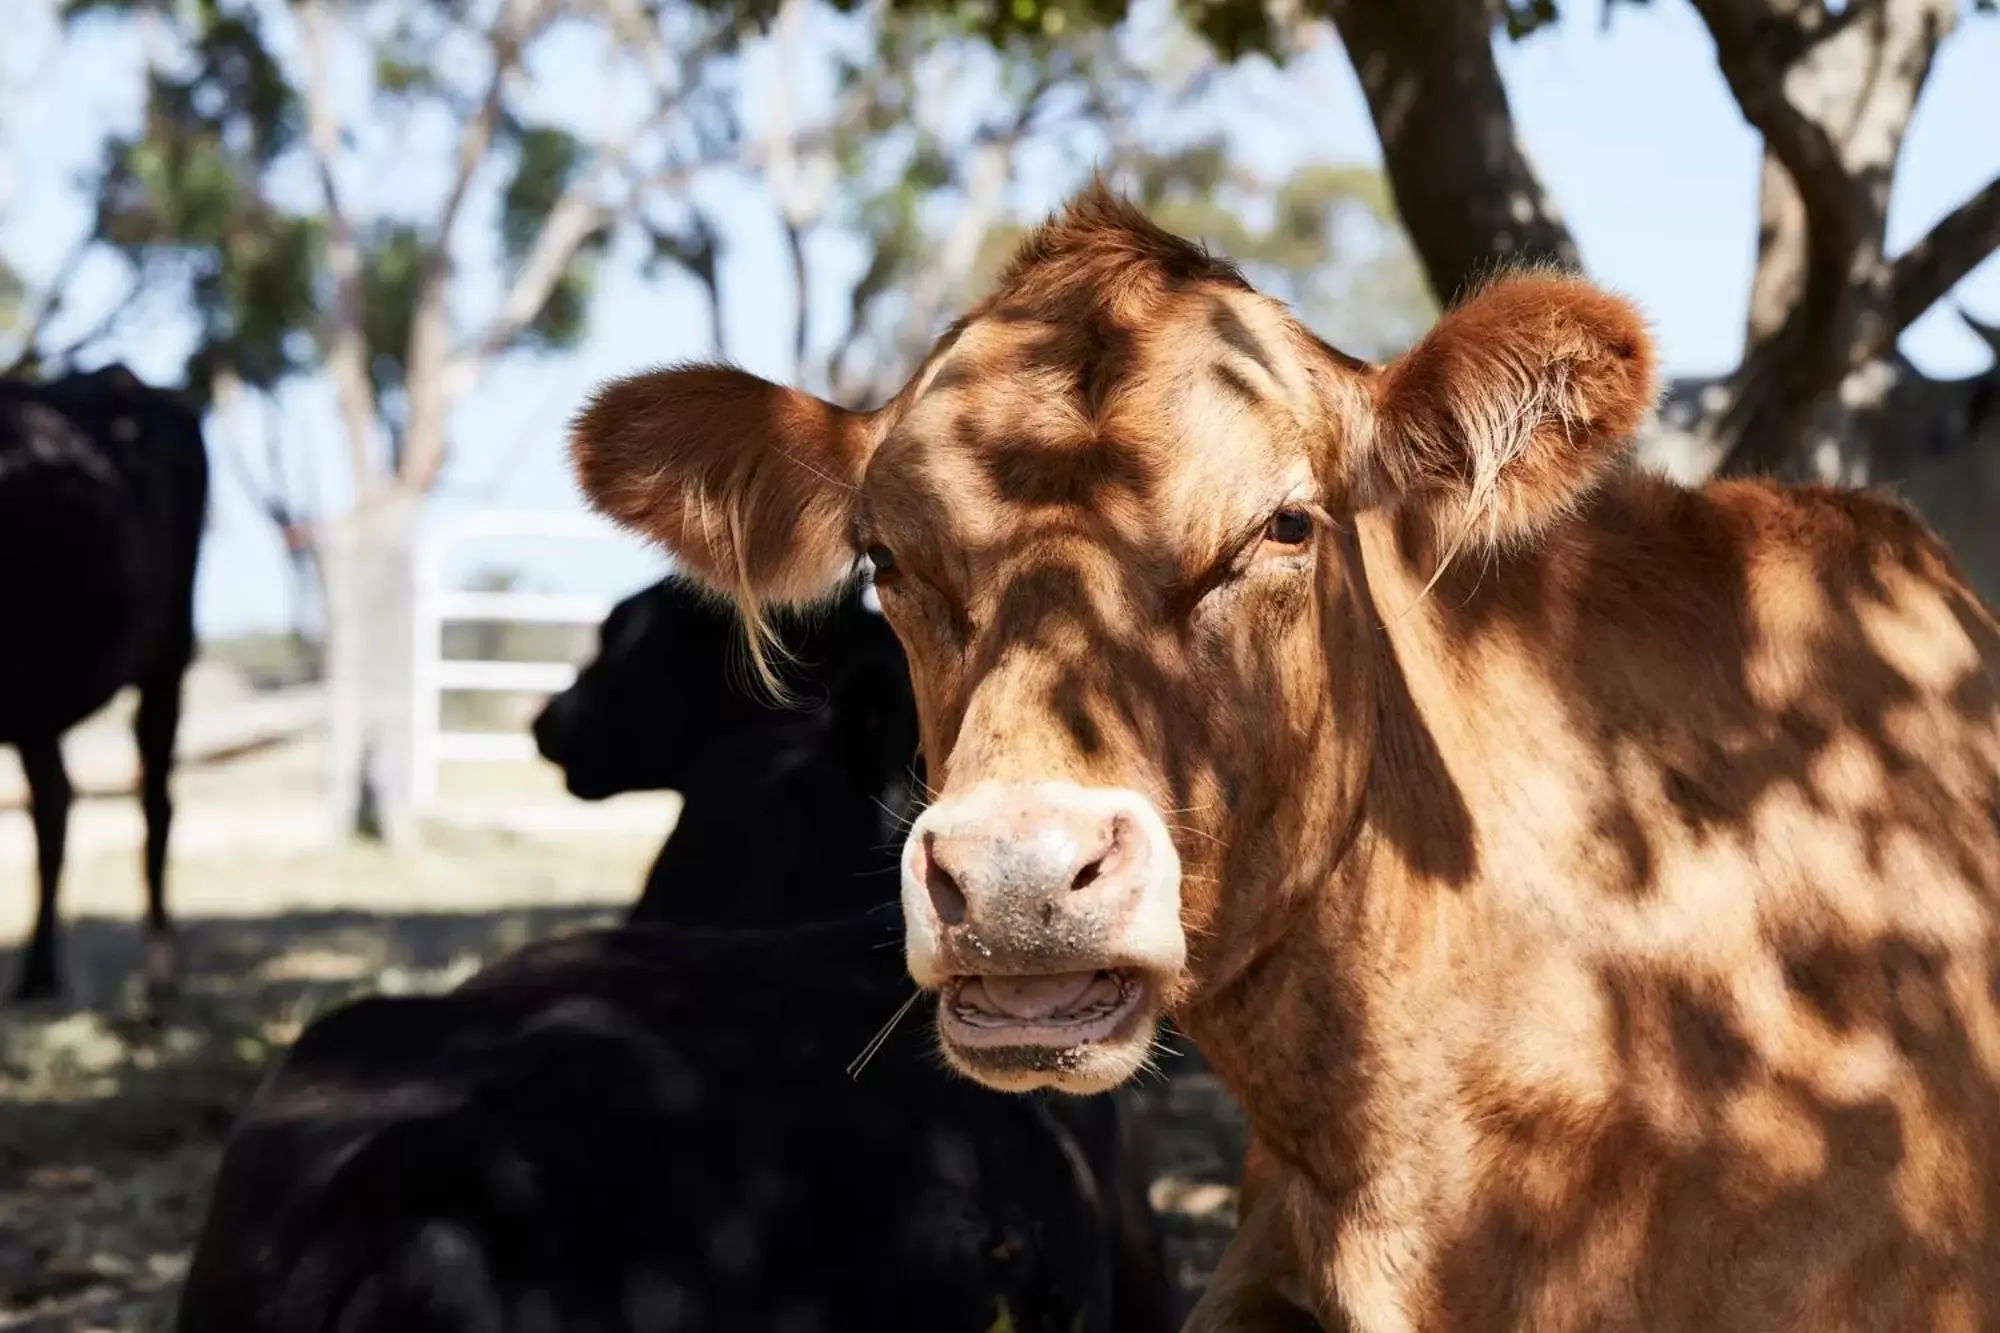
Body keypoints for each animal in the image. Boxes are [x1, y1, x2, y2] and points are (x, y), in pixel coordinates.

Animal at [0, 360, 211, 996]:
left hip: (167, 657)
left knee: (156, 802)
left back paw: (159, 966)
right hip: (37, 702)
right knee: (55, 803)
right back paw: (39, 973)